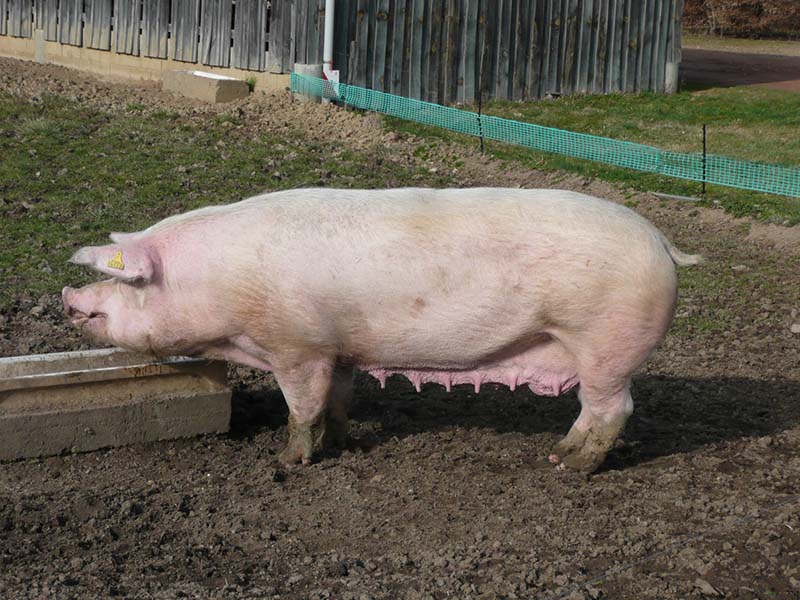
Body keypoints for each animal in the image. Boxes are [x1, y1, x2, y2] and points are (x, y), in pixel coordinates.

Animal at [62, 188, 700, 474]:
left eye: (131, 283)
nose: (70, 298)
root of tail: (664, 244)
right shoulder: (338, 350)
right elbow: (338, 400)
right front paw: (346, 443)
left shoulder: (298, 346)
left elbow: (301, 407)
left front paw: (289, 461)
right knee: (598, 408)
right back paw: (560, 454)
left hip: (606, 343)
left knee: (613, 409)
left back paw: (570, 467)